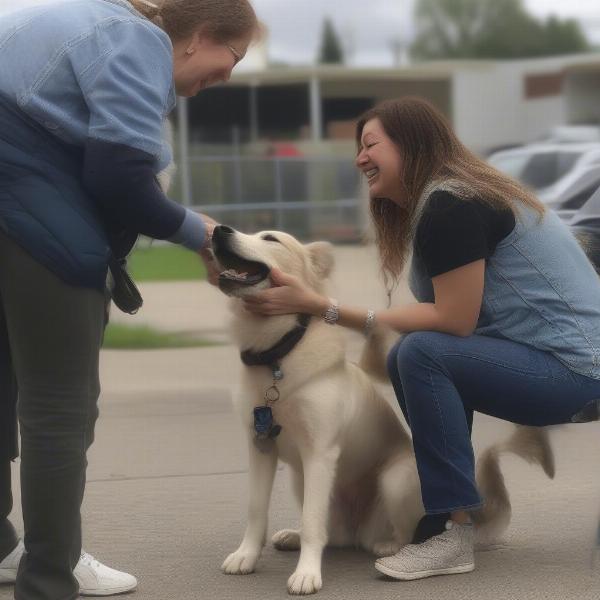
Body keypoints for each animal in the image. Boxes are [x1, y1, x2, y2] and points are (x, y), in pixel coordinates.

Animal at [213, 226, 556, 596]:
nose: (218, 230)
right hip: (299, 478)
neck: (277, 357)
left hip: (393, 480)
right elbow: (256, 511)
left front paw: (306, 573)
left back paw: (390, 548)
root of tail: (356, 529)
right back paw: (297, 536)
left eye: (270, 239)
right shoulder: (261, 446)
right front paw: (246, 556)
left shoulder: (319, 453)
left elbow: (312, 522)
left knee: (399, 533)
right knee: (332, 533)